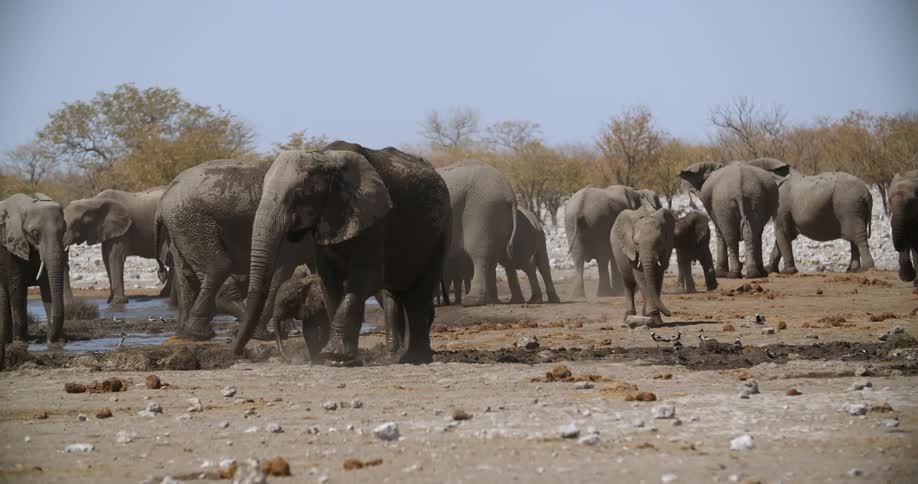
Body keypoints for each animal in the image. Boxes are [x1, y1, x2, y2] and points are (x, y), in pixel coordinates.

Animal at [1, 193, 67, 369]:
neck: (27, 205)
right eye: (35, 233)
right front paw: (20, 344)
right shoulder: (9, 245)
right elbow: (16, 285)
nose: (48, 339)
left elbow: (47, 285)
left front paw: (55, 344)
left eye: (64, 231)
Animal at [155, 159, 314, 341]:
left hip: (180, 228)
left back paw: (187, 334)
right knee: (217, 267)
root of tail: (164, 198)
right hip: (192, 223)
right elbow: (281, 273)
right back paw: (204, 333)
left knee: (186, 275)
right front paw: (262, 335)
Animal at [233, 141, 452, 365]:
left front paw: (334, 355)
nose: (237, 353)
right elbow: (329, 282)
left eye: (298, 195)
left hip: (440, 231)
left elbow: (365, 280)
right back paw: (400, 357)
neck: (325, 158)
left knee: (420, 292)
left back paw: (416, 358)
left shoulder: (374, 219)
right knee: (397, 293)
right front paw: (341, 360)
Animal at [437, 159, 517, 306]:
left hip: (482, 210)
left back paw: (471, 301)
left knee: (480, 256)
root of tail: (509, 191)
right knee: (493, 257)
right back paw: (491, 300)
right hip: (498, 215)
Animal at [739, 159, 876, 274]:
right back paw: (852, 270)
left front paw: (787, 272)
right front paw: (770, 270)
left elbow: (781, 232)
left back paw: (866, 268)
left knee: (857, 235)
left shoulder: (781, 205)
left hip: (849, 207)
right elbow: (783, 236)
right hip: (855, 209)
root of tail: (867, 193)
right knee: (854, 237)